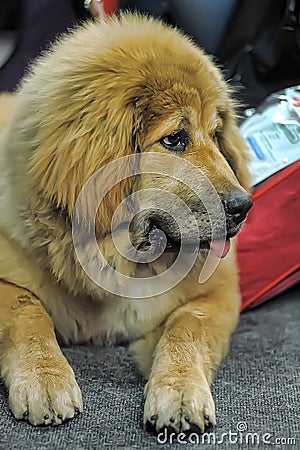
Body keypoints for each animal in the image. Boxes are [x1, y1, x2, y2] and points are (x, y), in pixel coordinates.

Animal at [0, 14, 252, 432]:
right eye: (175, 139)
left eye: (217, 135)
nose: (243, 206)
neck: (124, 256)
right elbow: (26, 312)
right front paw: (45, 378)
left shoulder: (217, 293)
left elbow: (187, 328)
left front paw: (179, 390)